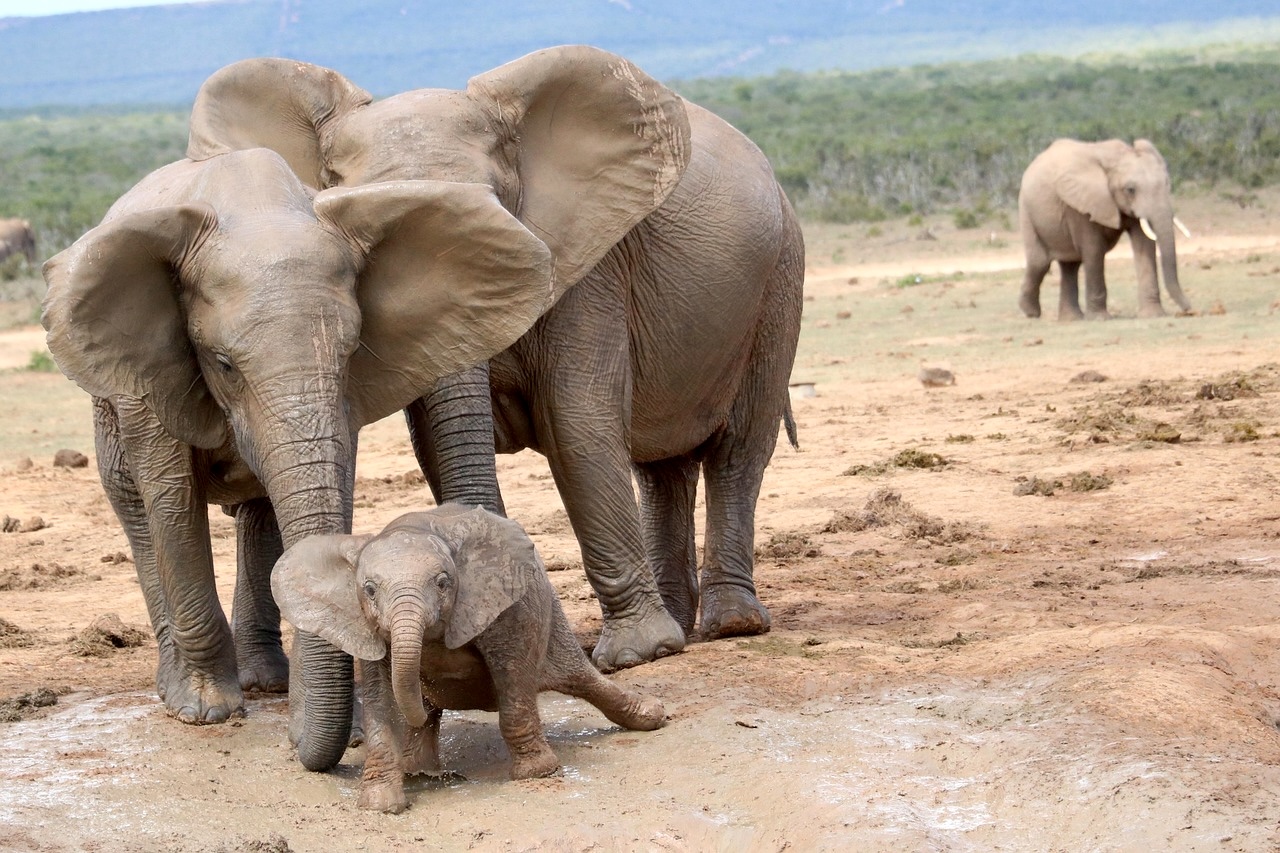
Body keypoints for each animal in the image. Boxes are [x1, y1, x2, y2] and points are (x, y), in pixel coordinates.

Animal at [40, 95, 682, 770]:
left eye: (351, 352)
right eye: (221, 364)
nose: (303, 745)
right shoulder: (149, 377)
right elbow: (171, 499)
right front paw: (206, 712)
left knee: (260, 512)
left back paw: (269, 684)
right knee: (138, 512)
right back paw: (195, 690)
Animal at [186, 45, 805, 672]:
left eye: (499, 208)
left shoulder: (587, 267)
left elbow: (577, 425)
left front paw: (636, 655)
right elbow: (436, 442)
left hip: (780, 279)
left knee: (737, 449)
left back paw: (729, 625)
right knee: (661, 469)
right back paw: (682, 621)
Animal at [273, 504, 666, 813]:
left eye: (443, 582)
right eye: (369, 589)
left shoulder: (506, 603)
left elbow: (513, 671)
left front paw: (536, 773)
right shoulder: (365, 627)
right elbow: (380, 697)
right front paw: (380, 805)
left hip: (551, 612)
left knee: (579, 677)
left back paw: (652, 715)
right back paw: (419, 769)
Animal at [1018, 138, 1192, 320]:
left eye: (1167, 183)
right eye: (1130, 190)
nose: (1188, 310)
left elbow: (1145, 245)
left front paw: (1153, 315)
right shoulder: (1081, 204)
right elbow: (1094, 250)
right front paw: (1099, 318)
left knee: (1070, 265)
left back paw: (1071, 319)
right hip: (1026, 210)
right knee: (1040, 262)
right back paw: (1030, 312)